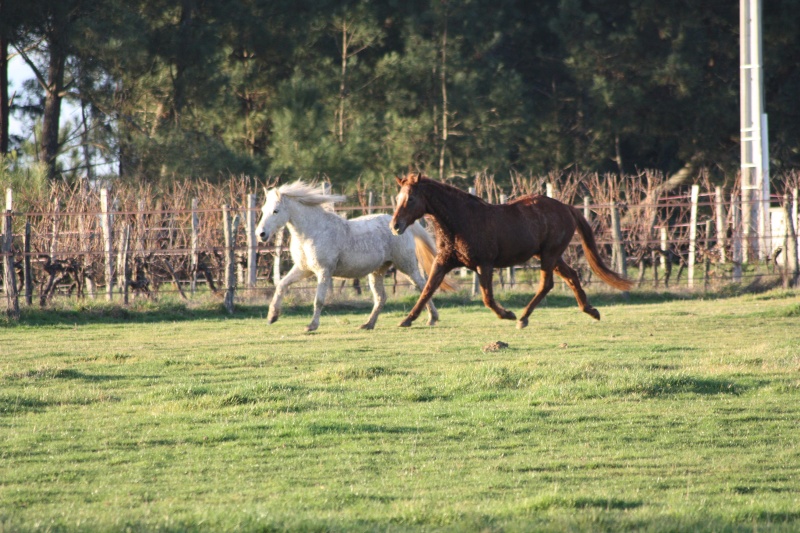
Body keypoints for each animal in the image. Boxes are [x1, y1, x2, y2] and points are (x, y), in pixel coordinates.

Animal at [256, 181, 450, 330]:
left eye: (275, 211)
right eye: (264, 209)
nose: (261, 234)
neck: (314, 231)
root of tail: (400, 225)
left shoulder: (323, 272)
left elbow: (318, 300)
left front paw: (311, 326)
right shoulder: (303, 269)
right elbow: (281, 285)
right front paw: (272, 316)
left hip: (407, 266)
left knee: (423, 286)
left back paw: (431, 319)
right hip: (378, 271)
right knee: (381, 298)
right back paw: (368, 324)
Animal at [390, 172, 636, 326]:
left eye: (411, 199)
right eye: (398, 198)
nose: (395, 226)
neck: (461, 221)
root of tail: (567, 207)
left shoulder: (485, 264)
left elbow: (487, 298)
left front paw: (507, 314)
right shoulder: (443, 262)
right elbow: (427, 289)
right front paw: (407, 320)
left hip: (549, 255)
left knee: (547, 284)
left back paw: (523, 318)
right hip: (551, 255)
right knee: (572, 276)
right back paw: (591, 310)